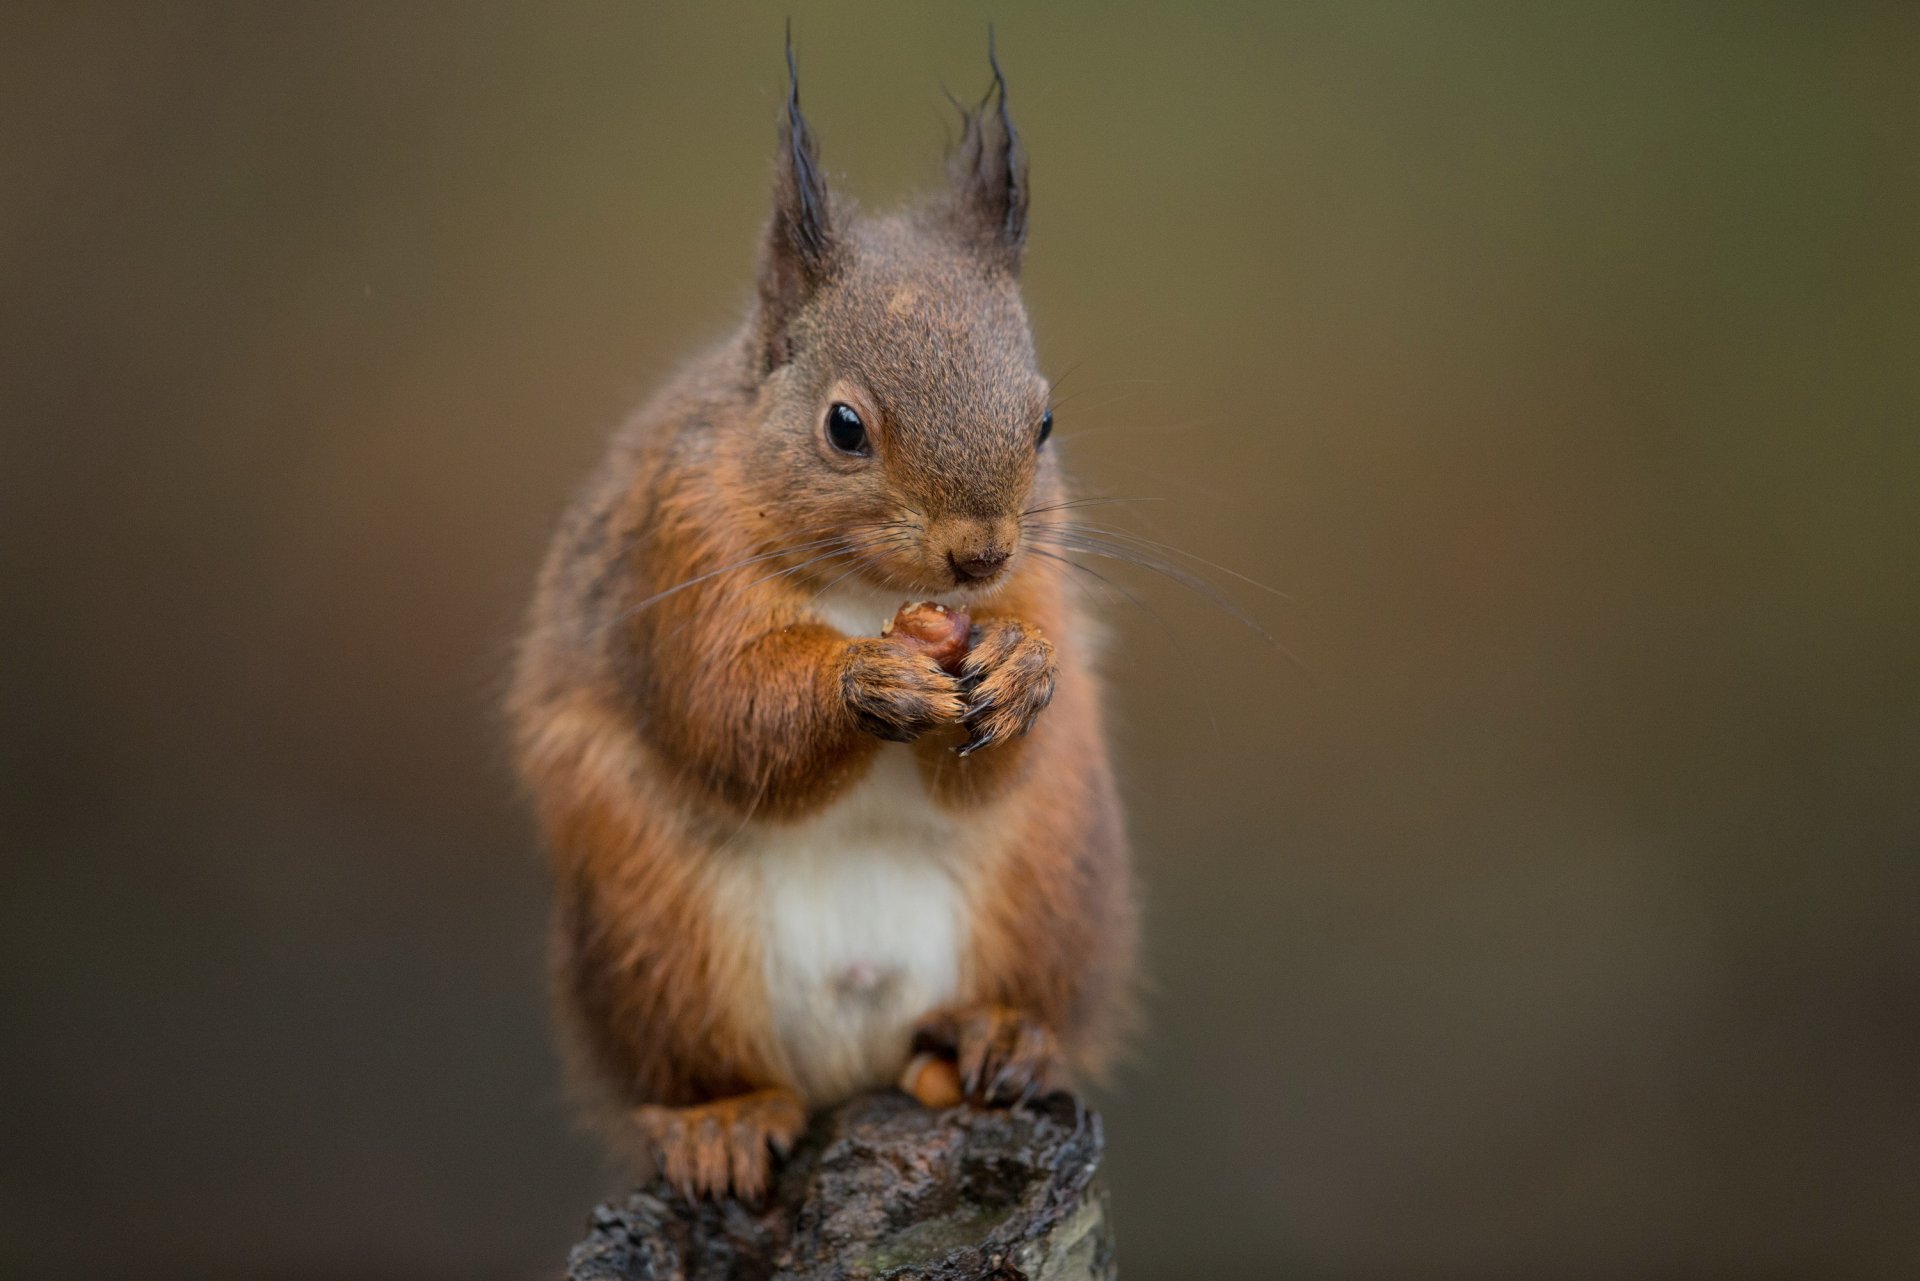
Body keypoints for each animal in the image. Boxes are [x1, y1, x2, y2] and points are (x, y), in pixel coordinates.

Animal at [508, 41, 1135, 1203]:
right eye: (843, 427)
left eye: (1044, 420)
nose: (981, 553)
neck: (871, 595)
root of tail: (859, 1061)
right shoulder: (678, 557)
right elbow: (724, 709)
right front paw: (868, 681)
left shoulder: (1040, 576)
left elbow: (1004, 741)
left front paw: (1024, 668)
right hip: (654, 934)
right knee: (699, 1065)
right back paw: (719, 1120)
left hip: (1055, 879)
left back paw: (1002, 1037)